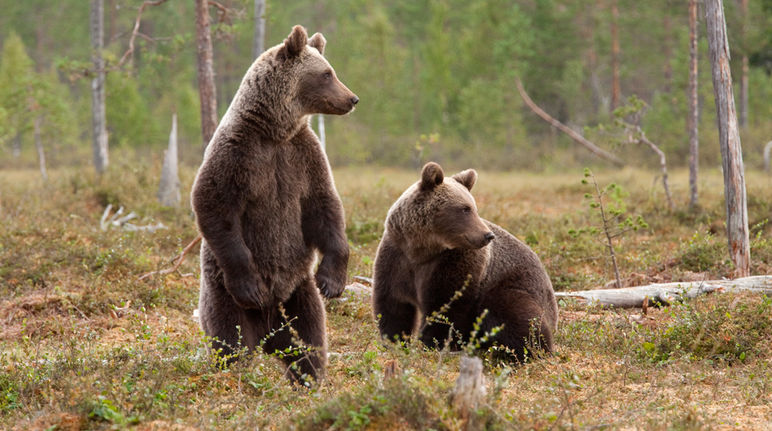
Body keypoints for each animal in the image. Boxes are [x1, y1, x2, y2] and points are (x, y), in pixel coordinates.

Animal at [190, 25, 358, 386]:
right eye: (327, 73)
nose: (352, 99)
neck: (274, 130)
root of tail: (269, 332)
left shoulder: (303, 156)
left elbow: (324, 207)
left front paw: (332, 281)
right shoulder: (238, 154)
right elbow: (215, 205)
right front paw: (250, 284)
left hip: (298, 295)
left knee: (309, 340)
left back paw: (308, 378)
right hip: (221, 293)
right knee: (232, 340)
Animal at [372, 162, 556, 362]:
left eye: (473, 208)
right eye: (465, 208)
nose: (487, 235)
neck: (422, 249)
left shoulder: (454, 263)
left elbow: (446, 306)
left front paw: (433, 344)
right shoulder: (397, 257)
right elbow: (393, 305)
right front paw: (395, 341)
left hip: (512, 285)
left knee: (515, 315)